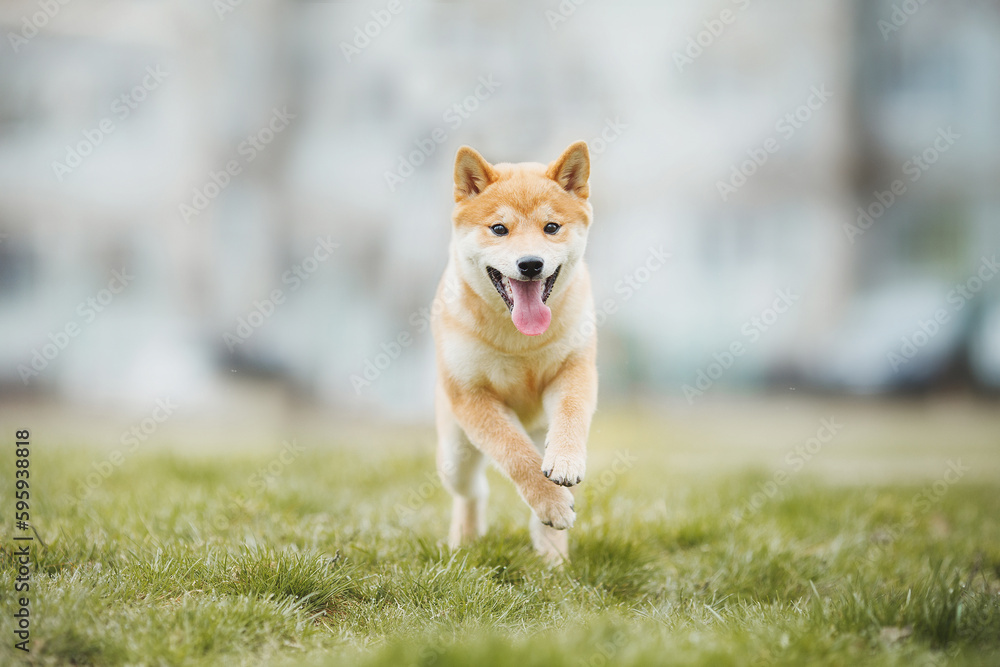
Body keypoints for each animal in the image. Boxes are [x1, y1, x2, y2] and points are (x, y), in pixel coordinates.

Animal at [428, 141, 592, 564]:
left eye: (551, 227)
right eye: (499, 229)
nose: (530, 263)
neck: (521, 340)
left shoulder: (574, 370)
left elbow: (570, 417)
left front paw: (564, 464)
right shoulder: (472, 396)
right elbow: (516, 455)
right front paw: (550, 501)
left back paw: (553, 557)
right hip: (455, 454)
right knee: (473, 491)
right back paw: (466, 539)